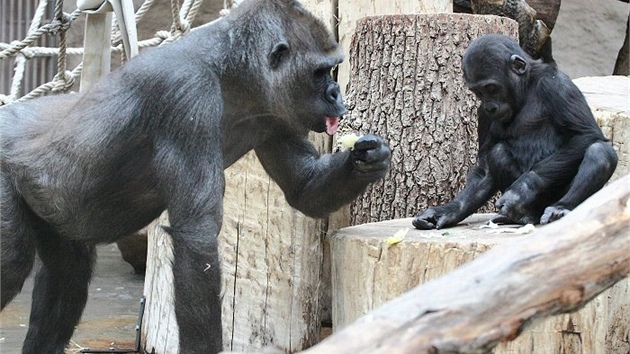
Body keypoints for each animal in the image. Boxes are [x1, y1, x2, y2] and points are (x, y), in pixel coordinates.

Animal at [414, 34, 616, 231]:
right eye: (478, 92)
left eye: (491, 87)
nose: (490, 107)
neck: (525, 89)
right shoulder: (482, 115)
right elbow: (485, 169)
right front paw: (449, 211)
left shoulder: (558, 86)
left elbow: (585, 135)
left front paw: (521, 191)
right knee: (498, 153)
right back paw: (522, 216)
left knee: (600, 152)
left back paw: (560, 208)